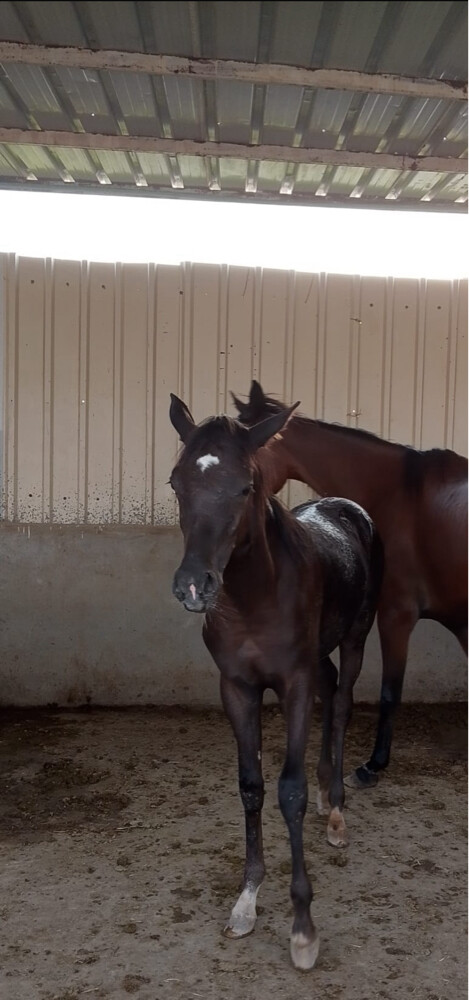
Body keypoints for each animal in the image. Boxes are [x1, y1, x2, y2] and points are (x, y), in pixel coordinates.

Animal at [169, 393, 383, 970]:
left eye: (246, 486)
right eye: (175, 483)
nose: (194, 586)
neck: (254, 596)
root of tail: (344, 506)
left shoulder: (294, 685)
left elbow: (290, 791)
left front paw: (303, 927)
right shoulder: (237, 689)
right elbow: (252, 788)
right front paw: (246, 901)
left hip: (354, 639)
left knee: (342, 704)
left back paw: (337, 812)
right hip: (321, 654)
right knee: (332, 690)